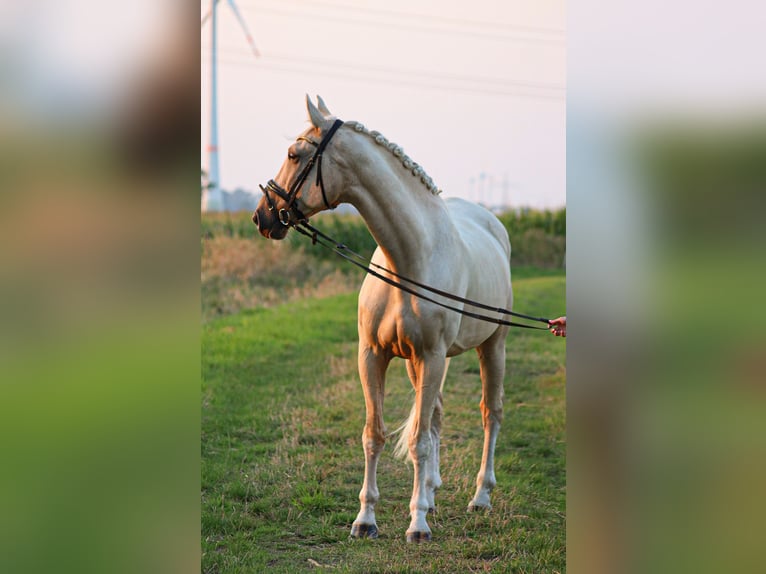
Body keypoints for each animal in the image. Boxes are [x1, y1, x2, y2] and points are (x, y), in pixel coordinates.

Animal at [255, 95, 512, 544]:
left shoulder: (432, 356)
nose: (262, 216)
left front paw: (418, 524)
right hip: (417, 364)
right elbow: (374, 435)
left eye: (294, 154)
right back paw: (431, 490)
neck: (406, 260)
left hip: (490, 347)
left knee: (489, 414)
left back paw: (480, 496)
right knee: (435, 417)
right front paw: (366, 520)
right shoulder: (374, 356)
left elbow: (419, 441)